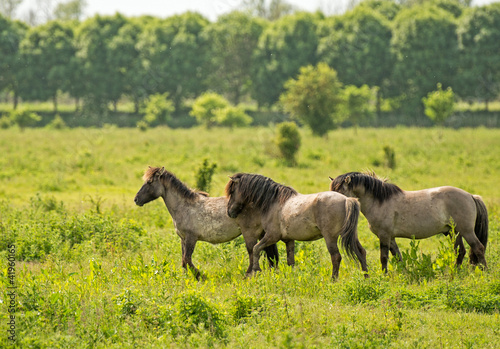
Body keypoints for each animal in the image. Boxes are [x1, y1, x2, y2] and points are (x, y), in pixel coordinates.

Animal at [134, 167, 282, 280]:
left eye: (149, 182)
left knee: (253, 252)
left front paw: (200, 276)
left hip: (249, 234)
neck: (184, 207)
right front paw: (185, 278)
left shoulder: (191, 238)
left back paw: (248, 275)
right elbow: (183, 261)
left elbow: (187, 259)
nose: (136, 199)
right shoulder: (183, 239)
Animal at [226, 173, 368, 278]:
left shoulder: (272, 236)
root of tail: (346, 200)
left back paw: (333, 280)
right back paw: (366, 277)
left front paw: (256, 271)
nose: (229, 212)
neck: (273, 202)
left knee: (336, 257)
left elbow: (255, 249)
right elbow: (291, 261)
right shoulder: (289, 240)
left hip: (330, 238)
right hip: (351, 235)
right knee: (361, 252)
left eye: (232, 191)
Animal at [328, 171, 488, 272]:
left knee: (478, 248)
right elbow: (397, 257)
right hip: (454, 232)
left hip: (466, 231)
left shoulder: (384, 236)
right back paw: (457, 272)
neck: (379, 201)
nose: (331, 203)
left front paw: (384, 276)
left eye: (339, 191)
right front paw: (403, 274)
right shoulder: (391, 238)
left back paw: (485, 272)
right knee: (461, 251)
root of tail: (470, 196)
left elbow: (384, 258)